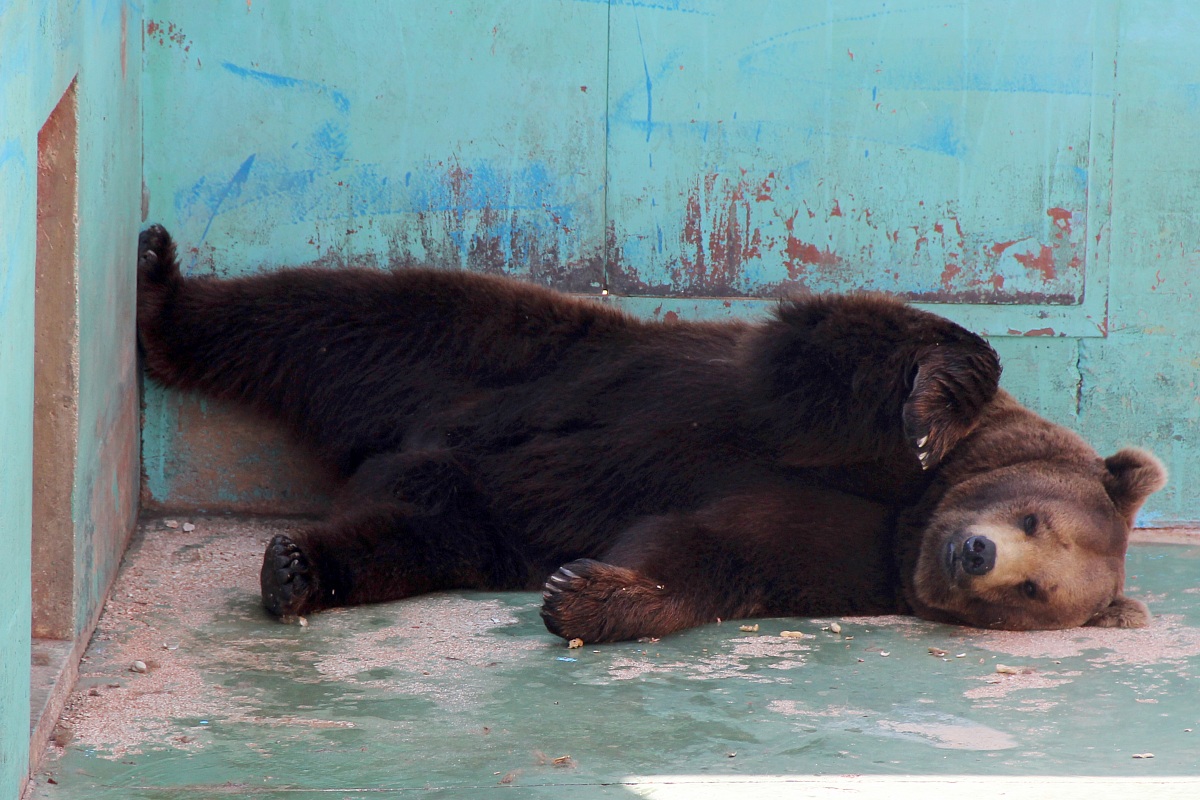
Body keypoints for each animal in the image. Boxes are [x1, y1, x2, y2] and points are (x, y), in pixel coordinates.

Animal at [136, 224, 1166, 643]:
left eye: (1035, 591)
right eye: (1035, 520)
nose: (976, 554)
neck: (914, 515)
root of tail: (399, 451)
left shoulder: (848, 557)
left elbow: (710, 549)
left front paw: (590, 595)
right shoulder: (821, 432)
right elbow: (841, 349)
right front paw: (934, 402)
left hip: (476, 514)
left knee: (409, 535)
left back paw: (299, 568)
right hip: (504, 361)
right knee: (347, 317)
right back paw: (160, 291)